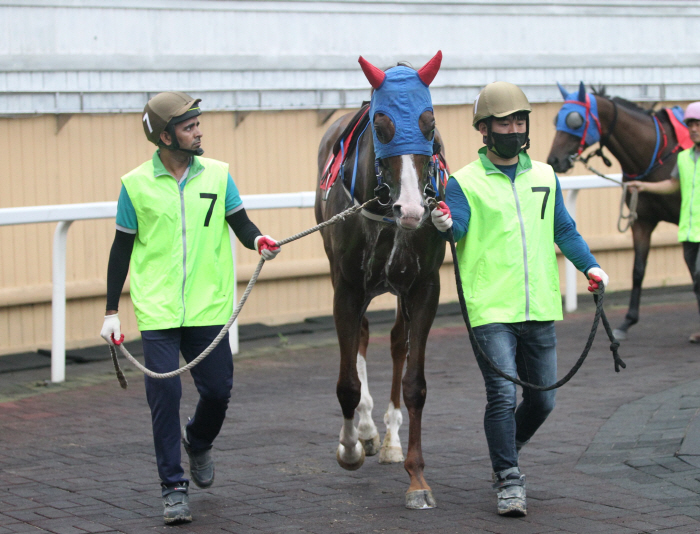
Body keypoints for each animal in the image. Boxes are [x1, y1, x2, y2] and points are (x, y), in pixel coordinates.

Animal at [314, 53, 446, 510]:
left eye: (429, 123)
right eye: (383, 124)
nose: (412, 208)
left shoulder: (424, 288)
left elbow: (415, 383)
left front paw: (417, 478)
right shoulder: (348, 289)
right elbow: (347, 384)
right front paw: (351, 447)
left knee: (395, 342)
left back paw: (388, 439)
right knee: (362, 336)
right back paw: (368, 433)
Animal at [544, 81, 688, 342]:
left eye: (575, 120)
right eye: (556, 118)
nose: (555, 160)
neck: (654, 155)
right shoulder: (642, 221)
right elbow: (638, 269)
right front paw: (628, 320)